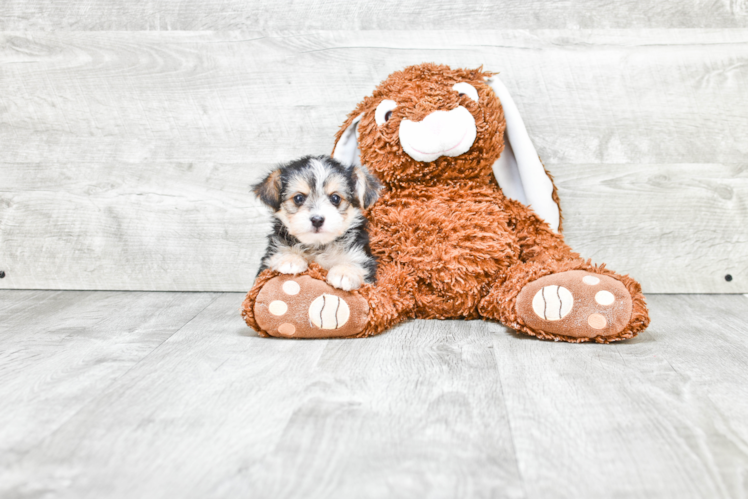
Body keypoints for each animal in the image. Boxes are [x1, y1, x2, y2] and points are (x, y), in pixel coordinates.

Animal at [253, 154, 382, 292]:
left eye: (335, 198)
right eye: (298, 198)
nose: (317, 220)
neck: (318, 245)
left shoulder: (363, 258)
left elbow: (357, 263)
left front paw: (345, 272)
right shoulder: (267, 262)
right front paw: (290, 257)